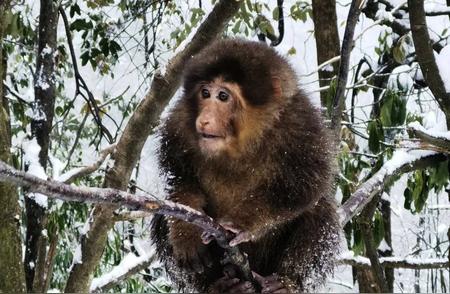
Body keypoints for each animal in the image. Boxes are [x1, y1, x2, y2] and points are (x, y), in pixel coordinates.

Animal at [149, 38, 340, 292]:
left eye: (223, 96)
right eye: (205, 93)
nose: (204, 119)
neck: (242, 144)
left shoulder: (304, 128)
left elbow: (304, 188)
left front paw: (241, 223)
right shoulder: (178, 127)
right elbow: (181, 181)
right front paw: (187, 234)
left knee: (320, 210)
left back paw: (287, 282)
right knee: (162, 219)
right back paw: (219, 286)